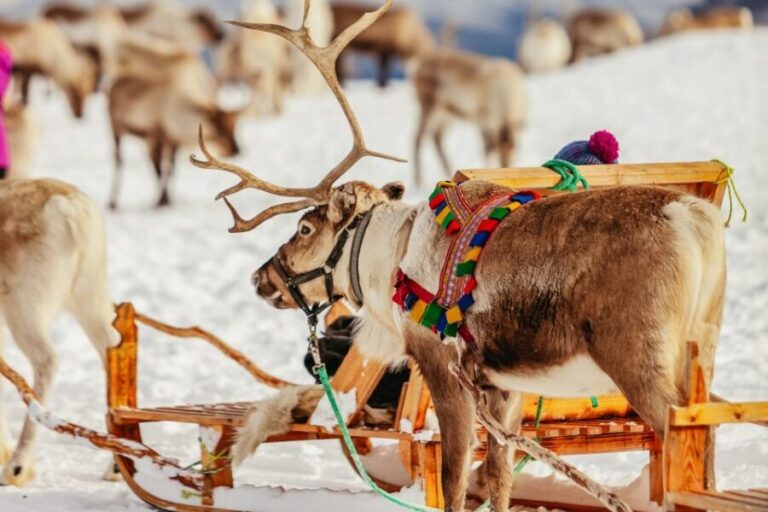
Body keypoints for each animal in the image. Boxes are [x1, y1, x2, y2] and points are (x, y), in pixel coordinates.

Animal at [0, 179, 120, 486]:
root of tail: (69, 208)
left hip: (25, 308)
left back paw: (18, 466)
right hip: (90, 295)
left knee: (47, 360)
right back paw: (117, 465)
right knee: (115, 351)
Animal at [412, 49, 527, 187]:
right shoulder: (485, 121)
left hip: (446, 114)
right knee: (418, 137)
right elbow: (488, 148)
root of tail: (420, 64)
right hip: (429, 107)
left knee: (436, 137)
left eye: (515, 147)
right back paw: (418, 182)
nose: (506, 166)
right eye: (501, 150)